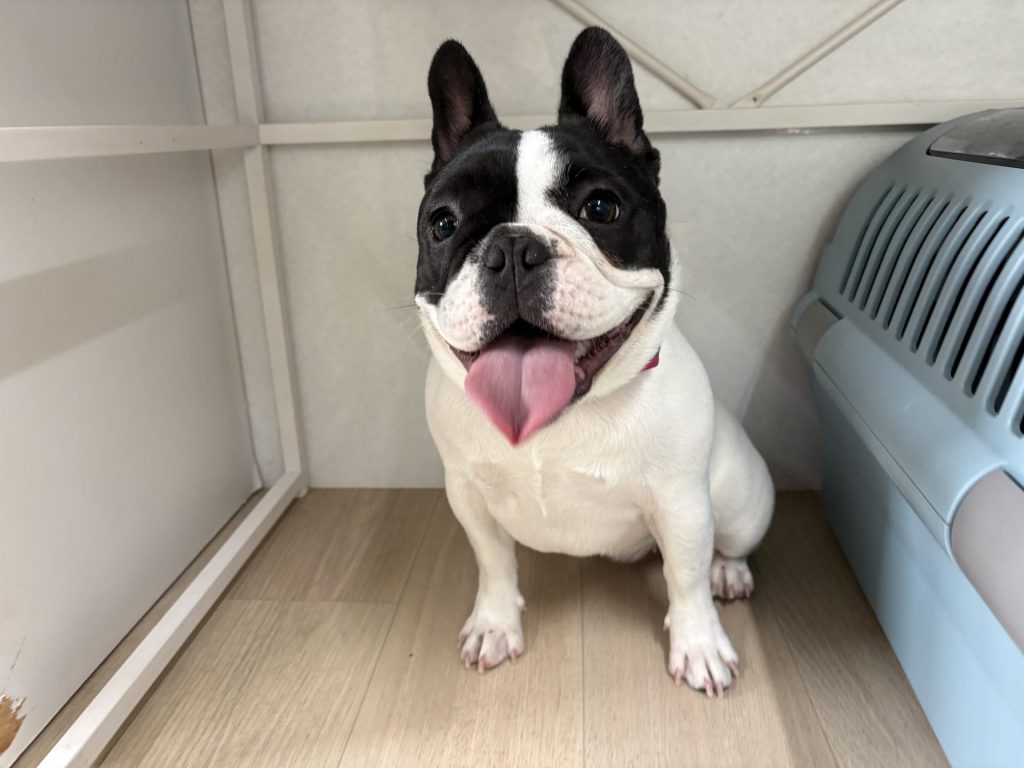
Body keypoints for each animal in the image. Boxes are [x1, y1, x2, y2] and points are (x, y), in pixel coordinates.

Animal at [414, 27, 774, 695]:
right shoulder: (468, 495)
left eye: (601, 208)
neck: (558, 422)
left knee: (725, 546)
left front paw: (699, 645)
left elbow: (686, 577)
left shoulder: (682, 505)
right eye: (443, 223)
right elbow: (492, 562)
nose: (512, 248)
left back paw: (730, 573)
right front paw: (496, 624)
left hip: (741, 500)